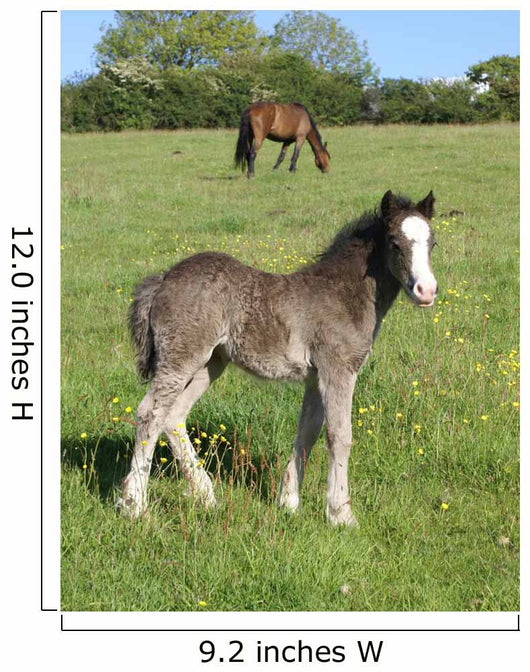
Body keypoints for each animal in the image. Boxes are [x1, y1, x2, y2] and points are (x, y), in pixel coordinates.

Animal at [119, 190, 438, 526]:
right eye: (395, 242)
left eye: (433, 242)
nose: (426, 291)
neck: (343, 294)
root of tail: (164, 279)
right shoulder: (339, 369)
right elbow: (340, 436)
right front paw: (341, 513)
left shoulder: (315, 377)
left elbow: (308, 432)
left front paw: (289, 502)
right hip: (181, 357)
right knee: (150, 413)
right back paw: (134, 504)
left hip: (211, 363)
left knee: (174, 416)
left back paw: (206, 495)